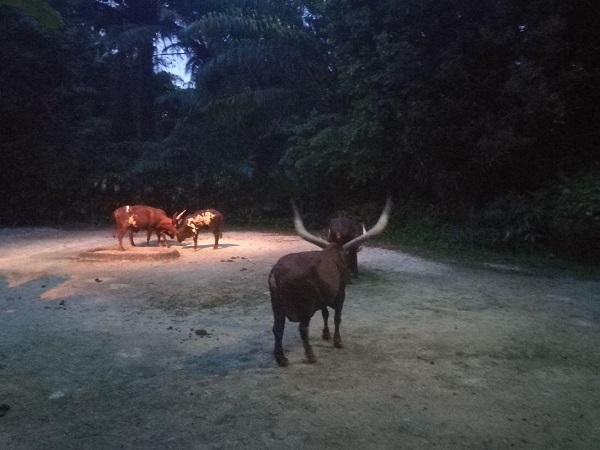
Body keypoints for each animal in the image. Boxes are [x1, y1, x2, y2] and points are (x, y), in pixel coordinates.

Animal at [268, 197, 392, 366]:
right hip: (306, 304)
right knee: (302, 328)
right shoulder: (341, 293)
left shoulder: (324, 297)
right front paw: (337, 341)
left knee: (277, 328)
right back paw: (311, 356)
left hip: (277, 306)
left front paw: (326, 334)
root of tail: (277, 272)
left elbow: (325, 314)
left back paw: (281, 358)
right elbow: (337, 317)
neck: (336, 254)